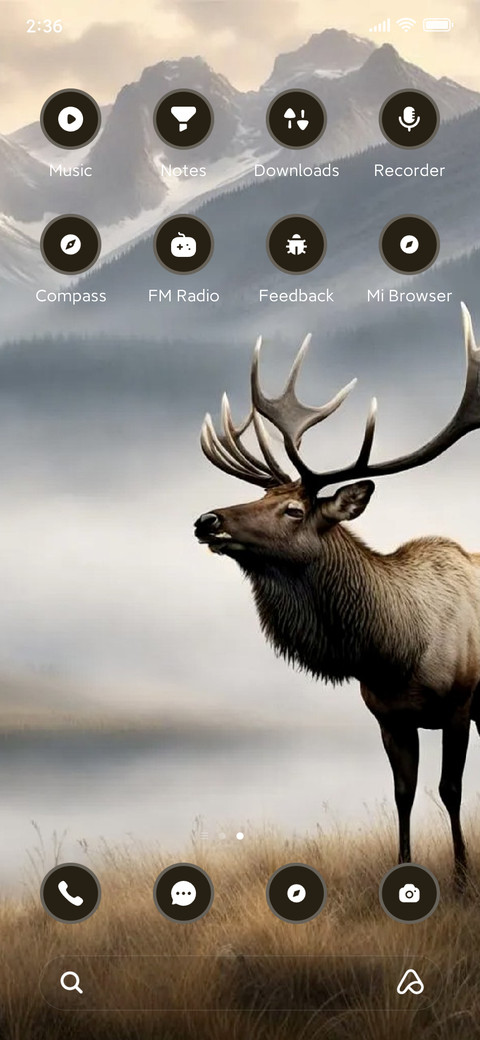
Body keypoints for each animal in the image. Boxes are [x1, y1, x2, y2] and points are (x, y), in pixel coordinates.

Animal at [194, 304, 480, 885]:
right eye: (263, 495)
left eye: (293, 510)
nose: (207, 520)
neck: (394, 654)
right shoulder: (389, 715)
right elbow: (403, 793)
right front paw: (404, 873)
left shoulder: (459, 702)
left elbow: (450, 790)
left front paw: (463, 880)